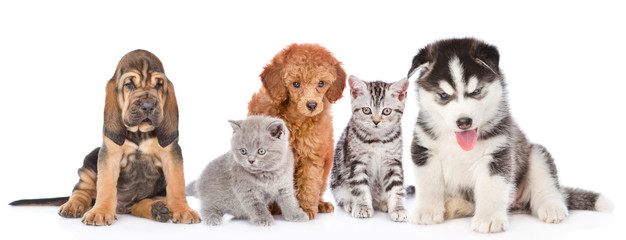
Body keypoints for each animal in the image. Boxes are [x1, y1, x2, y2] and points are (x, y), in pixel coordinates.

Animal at [9, 49, 200, 226]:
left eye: (159, 85)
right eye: (129, 84)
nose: (147, 106)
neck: (139, 132)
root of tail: (123, 206)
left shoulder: (172, 155)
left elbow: (176, 185)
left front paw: (183, 210)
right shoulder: (109, 155)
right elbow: (106, 186)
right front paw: (100, 212)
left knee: (140, 205)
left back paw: (157, 209)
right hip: (89, 163)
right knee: (82, 190)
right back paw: (73, 205)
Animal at [247, 43, 346, 219]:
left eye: (321, 83)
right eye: (296, 84)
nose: (312, 105)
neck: (296, 118)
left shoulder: (312, 155)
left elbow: (309, 183)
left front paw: (305, 209)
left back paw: (321, 205)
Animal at [330, 76, 412, 222]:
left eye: (386, 111)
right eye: (366, 110)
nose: (376, 121)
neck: (377, 140)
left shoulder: (392, 162)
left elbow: (396, 188)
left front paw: (398, 209)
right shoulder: (356, 162)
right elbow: (360, 187)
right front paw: (362, 207)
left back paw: (384, 203)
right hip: (336, 182)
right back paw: (350, 203)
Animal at [404, 38, 608, 233]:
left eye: (476, 91)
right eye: (444, 95)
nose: (464, 122)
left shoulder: (498, 154)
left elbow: (491, 190)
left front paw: (488, 219)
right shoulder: (424, 150)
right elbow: (429, 184)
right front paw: (427, 210)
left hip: (537, 154)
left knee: (546, 187)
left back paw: (552, 207)